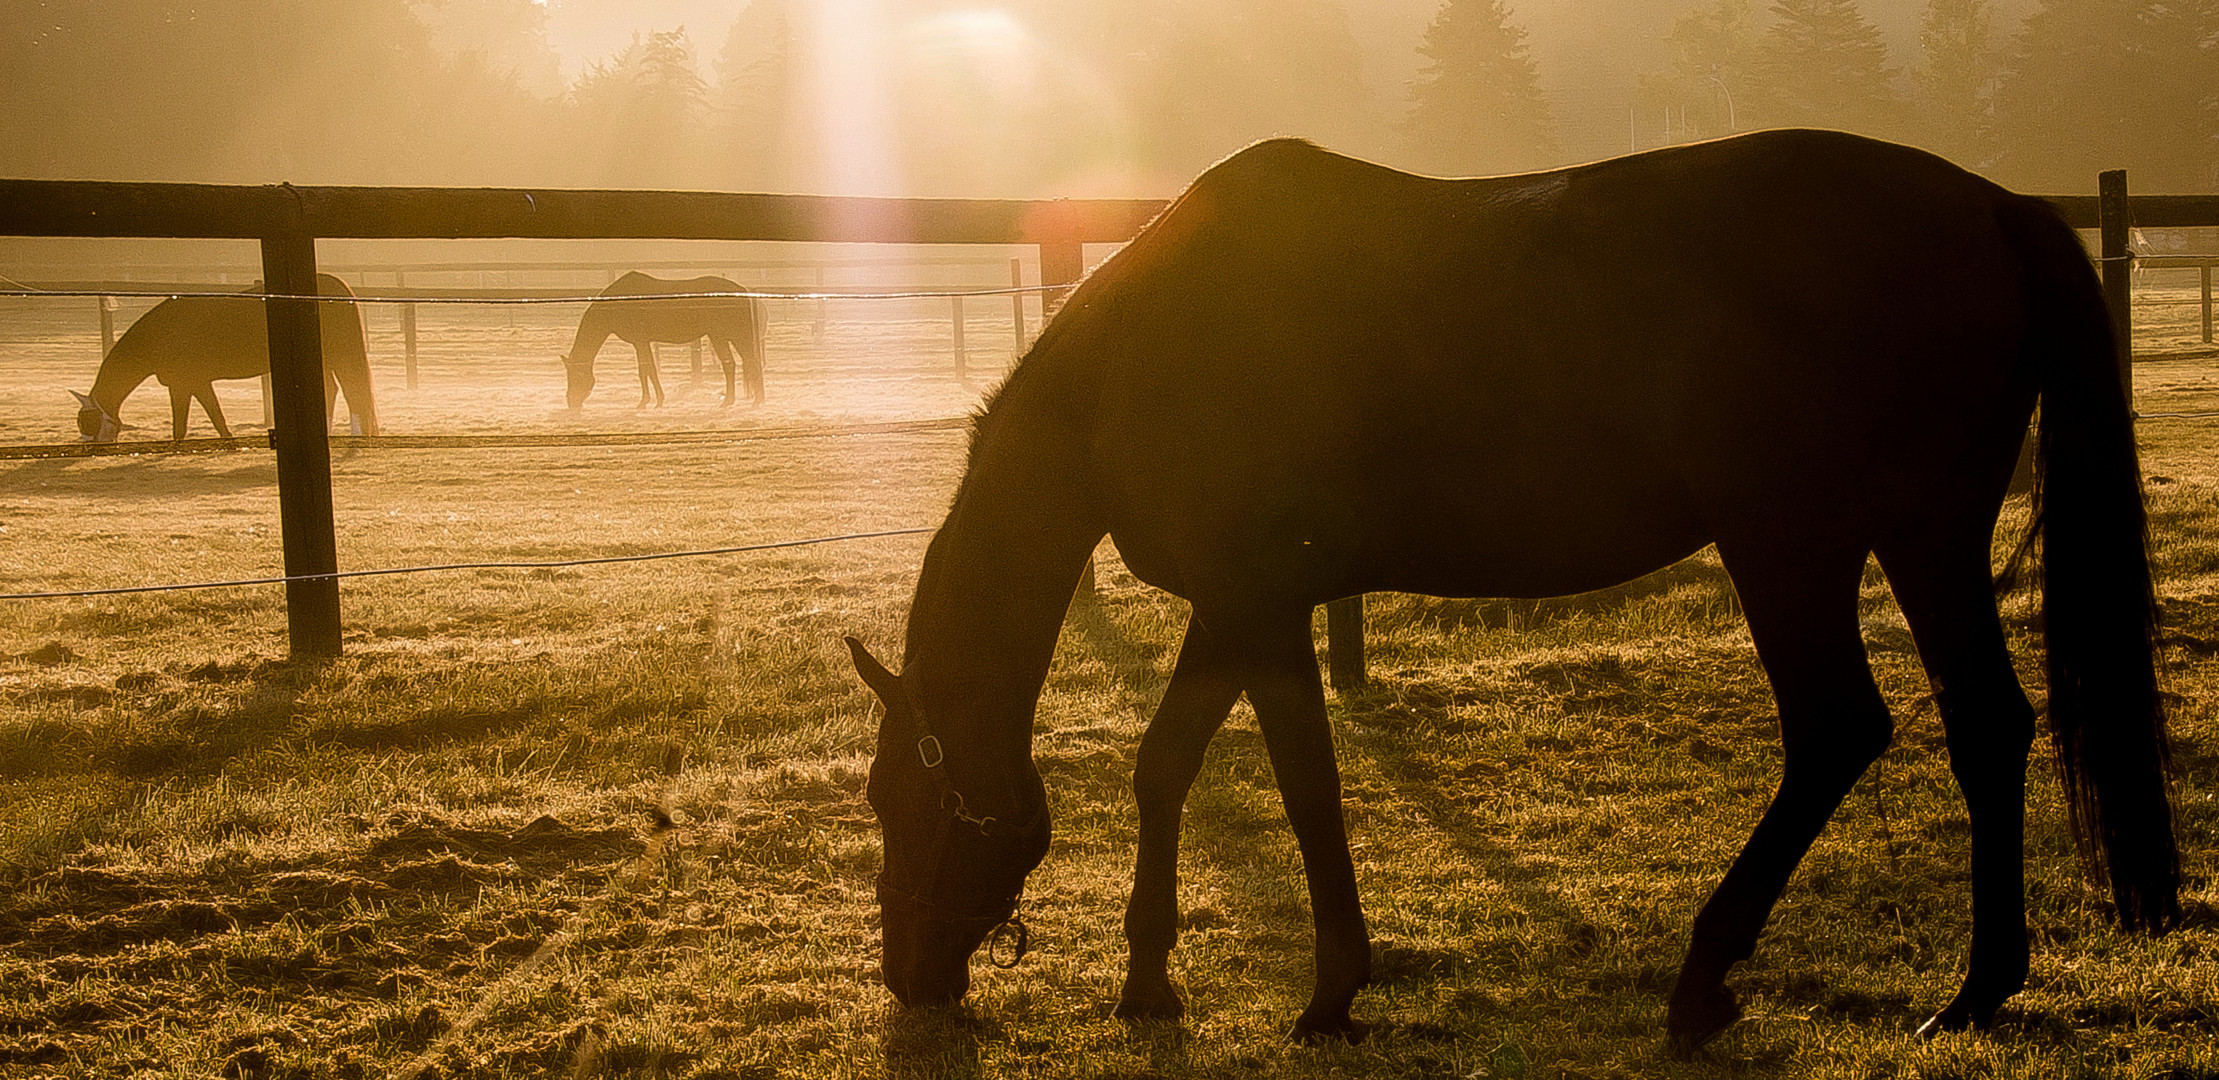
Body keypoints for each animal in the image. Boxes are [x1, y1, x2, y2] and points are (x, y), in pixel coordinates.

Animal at [72, 274, 377, 443]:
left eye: (88, 421)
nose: (87, 446)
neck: (165, 332)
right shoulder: (197, 384)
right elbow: (215, 417)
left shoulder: (183, 386)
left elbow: (184, 426)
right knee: (335, 390)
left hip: (340, 355)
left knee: (352, 391)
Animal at [563, 272, 772, 412]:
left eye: (576, 376)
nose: (571, 404)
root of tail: (744, 292)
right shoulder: (642, 342)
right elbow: (648, 370)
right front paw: (655, 400)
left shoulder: (640, 341)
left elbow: (645, 370)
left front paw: (648, 401)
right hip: (729, 337)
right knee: (743, 364)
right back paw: (748, 400)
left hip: (728, 336)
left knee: (740, 364)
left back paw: (739, 401)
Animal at [838, 130, 2174, 1051]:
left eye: (896, 803)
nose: (909, 976)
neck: (1144, 355)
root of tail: (1992, 208)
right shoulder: (1229, 608)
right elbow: (1162, 766)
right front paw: (1147, 978)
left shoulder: (1265, 613)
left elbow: (1307, 789)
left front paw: (1330, 992)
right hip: (1925, 537)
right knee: (1985, 726)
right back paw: (1976, 988)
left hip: (1788, 549)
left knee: (1836, 730)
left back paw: (1703, 981)